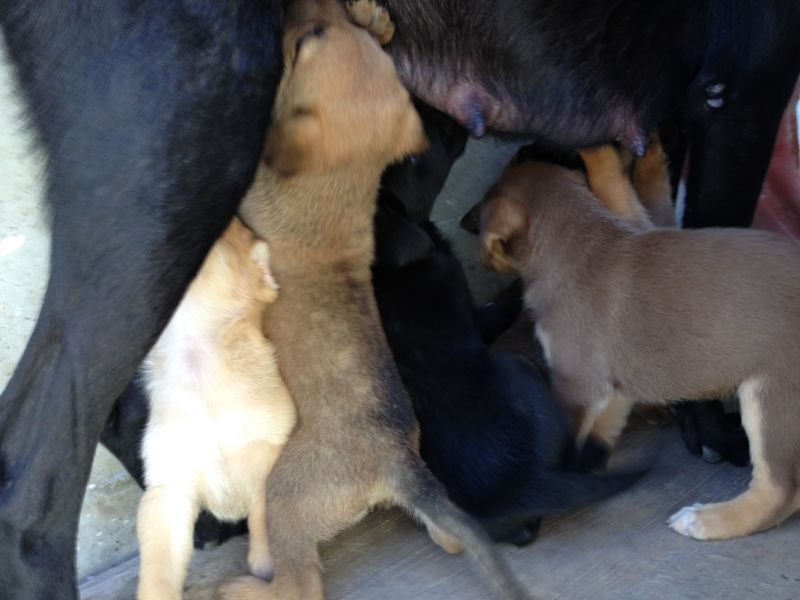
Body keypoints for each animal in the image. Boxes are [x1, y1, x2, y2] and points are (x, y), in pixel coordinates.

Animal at [216, 1, 528, 600]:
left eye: (304, 43)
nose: (297, 11)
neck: (345, 185)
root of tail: (394, 462)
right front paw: (376, 20)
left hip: (284, 492)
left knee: (300, 583)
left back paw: (243, 587)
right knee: (451, 536)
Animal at [468, 154, 800, 540]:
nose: (464, 221)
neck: (580, 242)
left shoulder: (578, 383)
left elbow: (567, 437)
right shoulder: (613, 388)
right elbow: (603, 432)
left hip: (773, 392)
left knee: (779, 491)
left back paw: (708, 520)